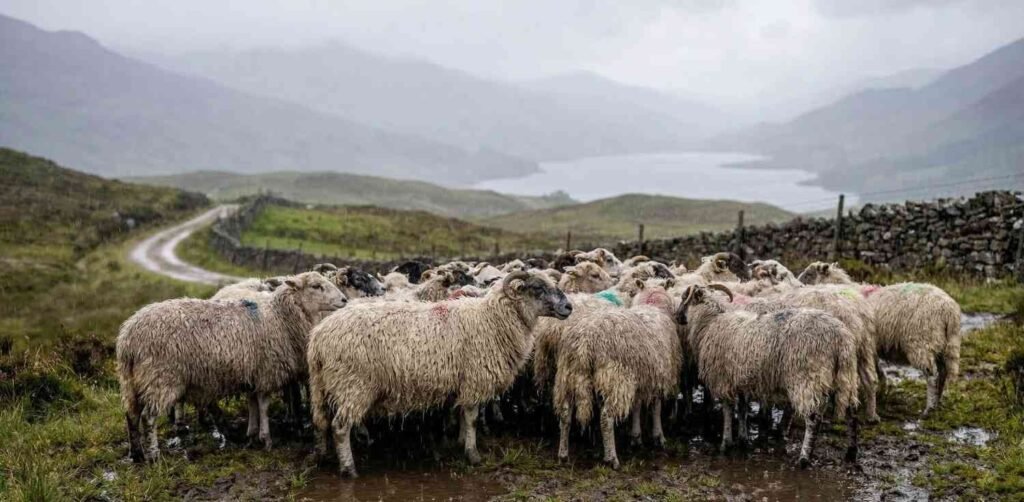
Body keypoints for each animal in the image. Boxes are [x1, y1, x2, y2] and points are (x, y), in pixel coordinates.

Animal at [117, 272, 347, 462]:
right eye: (316, 286)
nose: (344, 300)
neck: (280, 315)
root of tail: (128, 338)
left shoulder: (252, 373)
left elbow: (253, 403)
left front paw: (252, 435)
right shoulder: (266, 371)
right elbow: (263, 404)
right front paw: (266, 439)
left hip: (131, 382)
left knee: (131, 415)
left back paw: (136, 454)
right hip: (161, 378)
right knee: (148, 418)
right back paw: (153, 456)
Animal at [307, 271, 572, 477]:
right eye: (538, 288)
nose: (568, 307)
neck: (493, 319)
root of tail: (319, 337)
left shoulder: (463, 382)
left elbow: (462, 415)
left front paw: (461, 441)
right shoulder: (475, 380)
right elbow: (472, 418)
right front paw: (473, 455)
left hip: (322, 384)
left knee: (320, 421)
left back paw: (322, 455)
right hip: (353, 384)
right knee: (340, 426)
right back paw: (348, 468)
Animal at [553, 285, 681, 468]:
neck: (653, 306)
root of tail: (585, 341)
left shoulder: (641, 378)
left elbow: (636, 406)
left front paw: (636, 437)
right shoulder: (659, 376)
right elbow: (656, 407)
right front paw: (658, 437)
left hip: (568, 376)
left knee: (565, 415)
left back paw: (563, 455)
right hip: (615, 379)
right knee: (606, 418)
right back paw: (611, 458)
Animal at [675, 284, 859, 467]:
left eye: (684, 298)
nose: (677, 316)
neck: (710, 322)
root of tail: (839, 338)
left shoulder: (723, 379)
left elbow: (727, 410)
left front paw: (726, 443)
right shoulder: (740, 380)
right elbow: (742, 410)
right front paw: (743, 440)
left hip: (808, 377)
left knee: (813, 418)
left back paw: (804, 458)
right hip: (845, 375)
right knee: (851, 411)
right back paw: (851, 451)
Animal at [797, 262, 961, 415]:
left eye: (809, 274)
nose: (798, 285)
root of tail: (949, 310)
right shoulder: (871, 348)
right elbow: (878, 371)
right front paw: (881, 391)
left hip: (921, 343)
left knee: (932, 376)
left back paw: (929, 408)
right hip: (941, 344)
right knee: (943, 373)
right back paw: (938, 401)